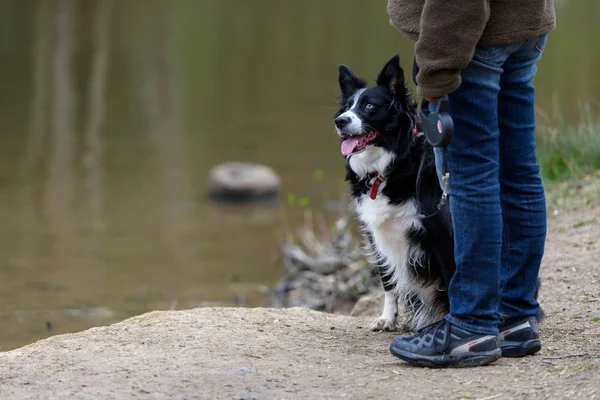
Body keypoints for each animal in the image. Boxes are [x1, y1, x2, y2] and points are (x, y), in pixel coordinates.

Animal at [332, 55, 454, 332]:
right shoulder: (376, 234)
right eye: (347, 107)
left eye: (369, 105)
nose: (340, 121)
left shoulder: (440, 232)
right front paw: (387, 318)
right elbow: (388, 282)